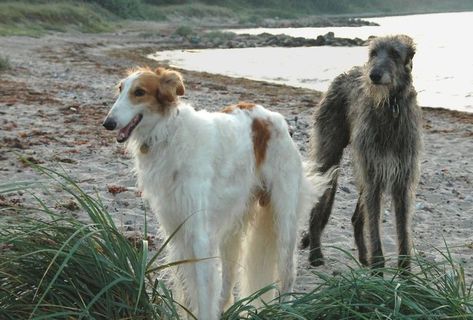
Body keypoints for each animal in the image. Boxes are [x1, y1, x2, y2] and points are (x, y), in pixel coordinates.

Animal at [103, 66, 324, 318]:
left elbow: (203, 294)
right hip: (233, 227)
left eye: (139, 92)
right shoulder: (177, 233)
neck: (169, 135)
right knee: (228, 281)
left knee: (288, 274)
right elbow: (190, 295)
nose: (107, 123)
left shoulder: (200, 235)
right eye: (120, 89)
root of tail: (273, 118)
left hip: (283, 219)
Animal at [300, 35, 422, 272]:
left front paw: (406, 275)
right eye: (373, 53)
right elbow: (374, 226)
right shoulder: (374, 174)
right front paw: (378, 270)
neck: (390, 106)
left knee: (357, 218)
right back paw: (316, 254)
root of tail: (344, 74)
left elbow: (403, 230)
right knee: (318, 209)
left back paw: (363, 257)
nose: (373, 75)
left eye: (395, 53)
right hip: (330, 154)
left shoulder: (402, 177)